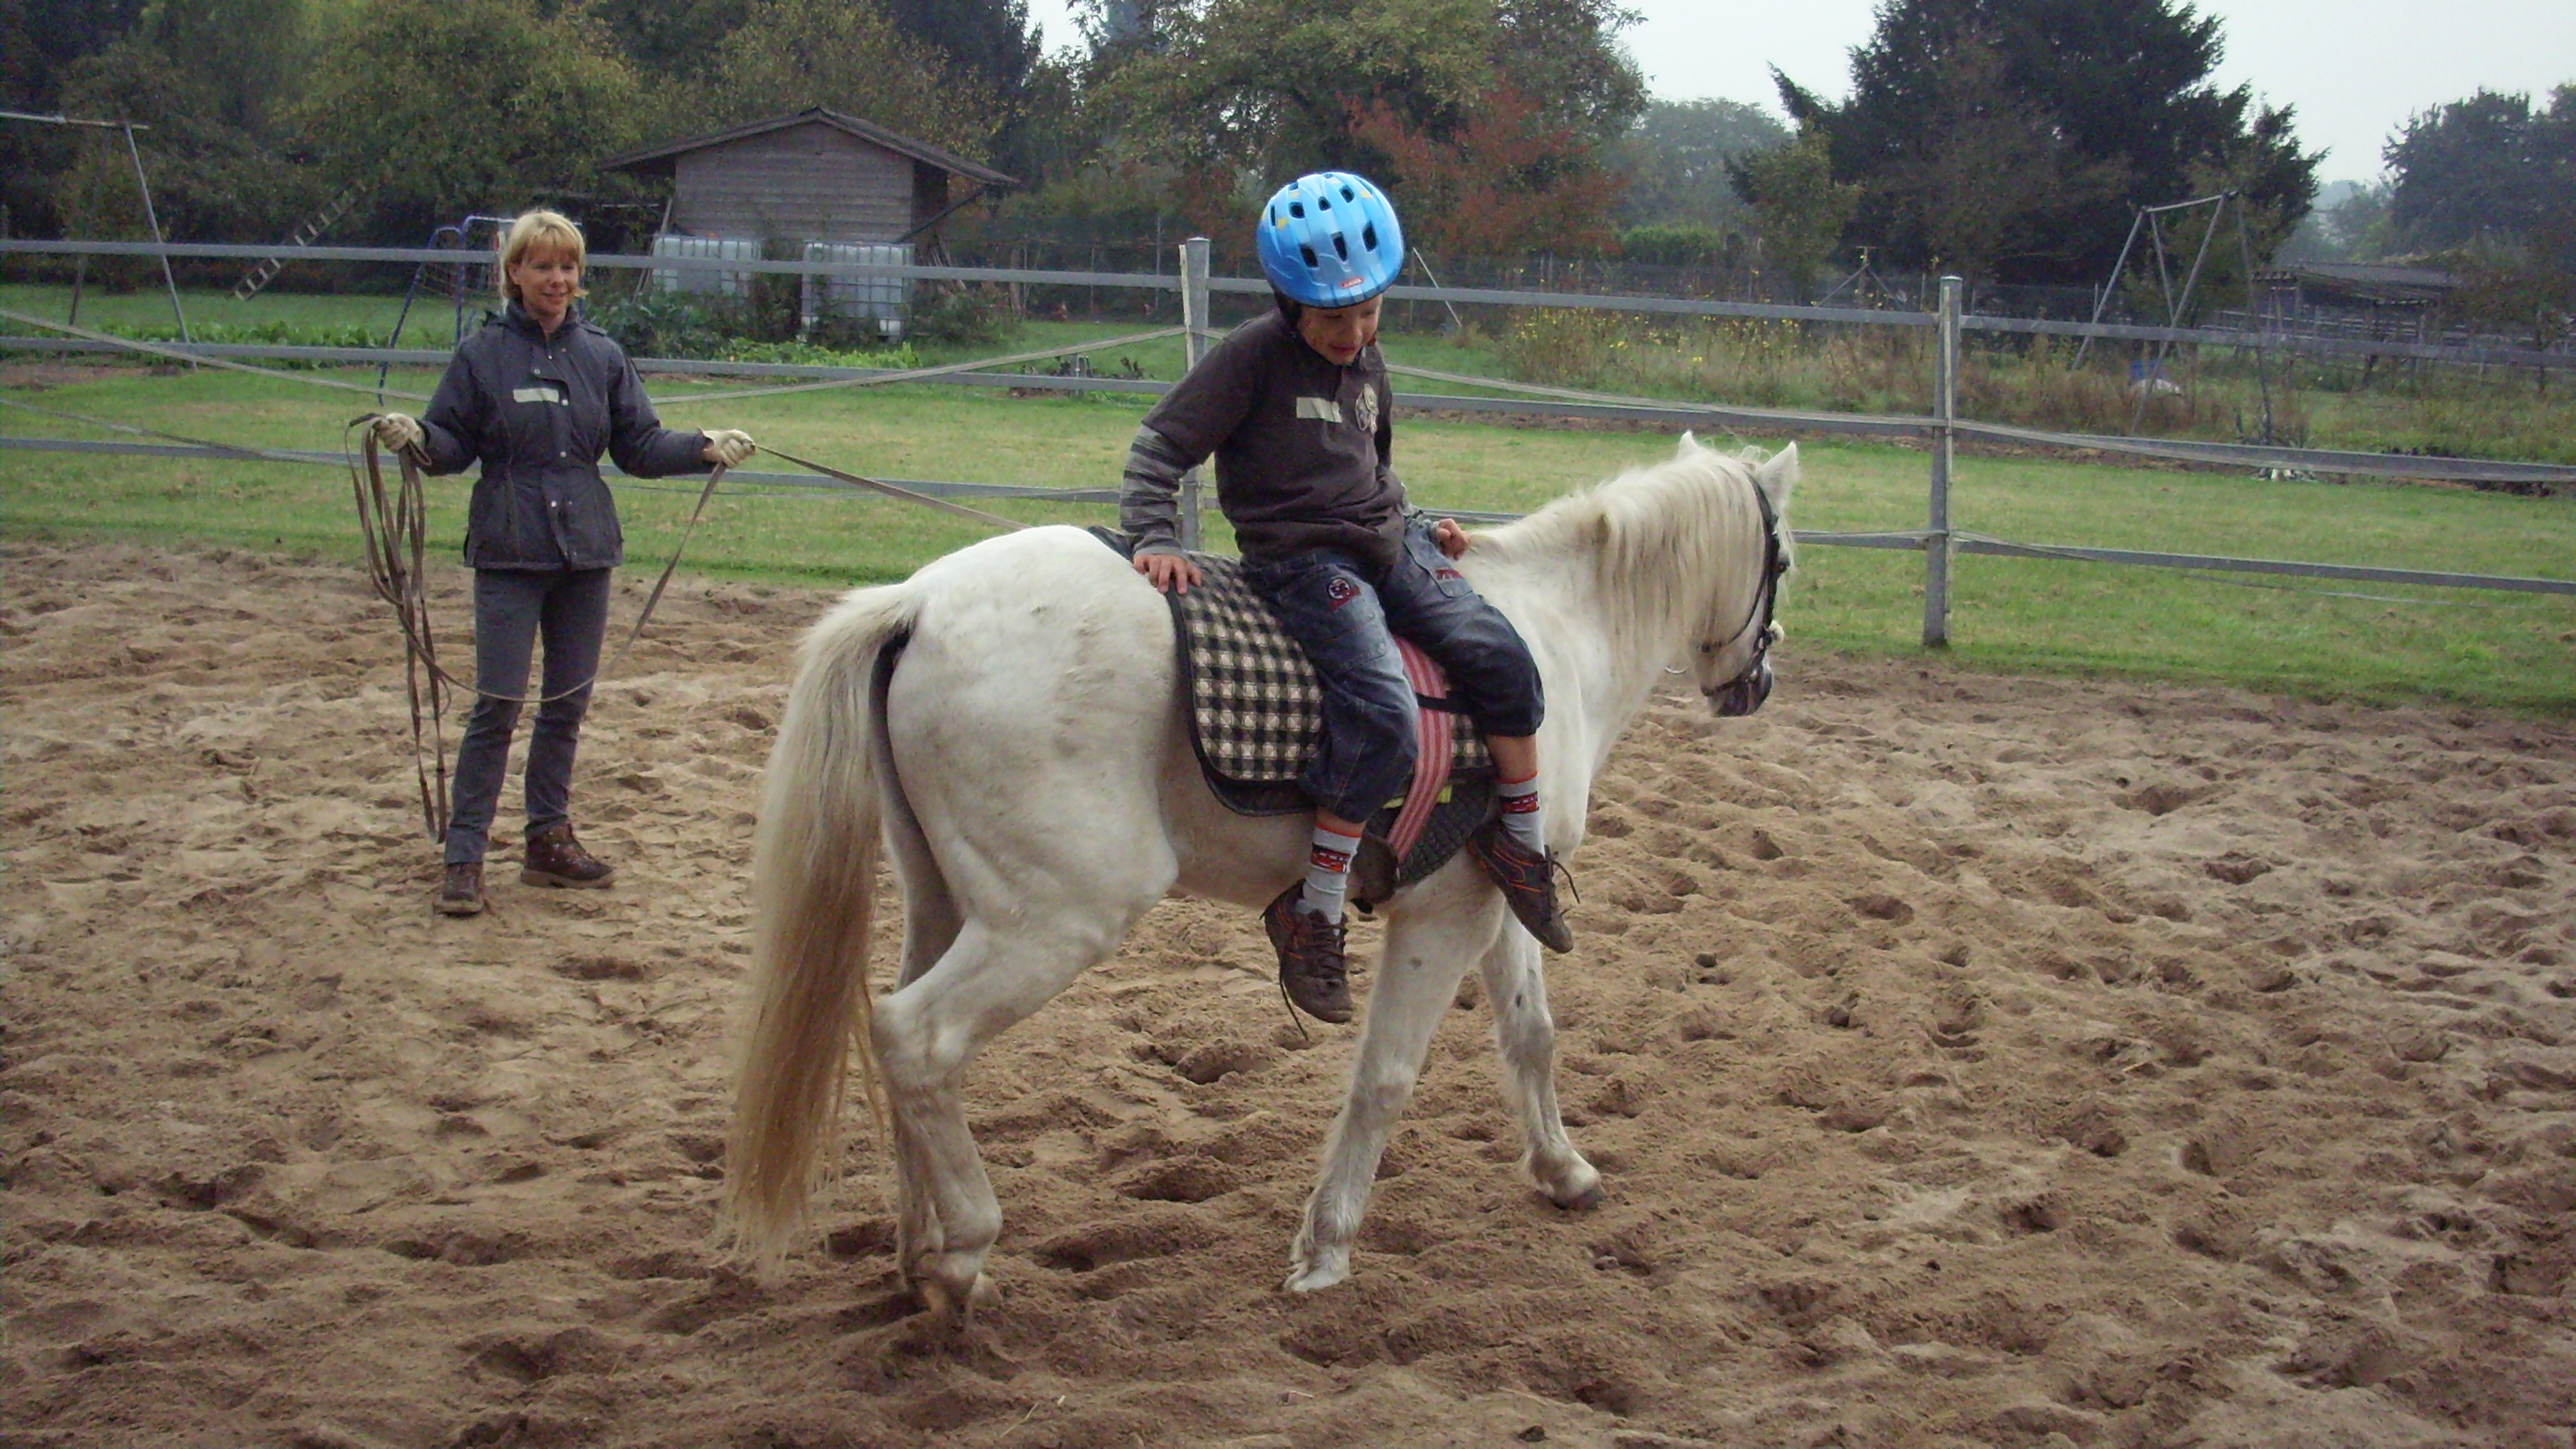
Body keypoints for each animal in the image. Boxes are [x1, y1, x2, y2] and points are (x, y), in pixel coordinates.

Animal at [721, 428, 1793, 1309]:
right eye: (1781, 558)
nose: (1757, 682)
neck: (1552, 637)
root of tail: (918, 604)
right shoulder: (1442, 918)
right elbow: (1385, 1077)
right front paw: (1325, 1249)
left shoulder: (1497, 896)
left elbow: (1533, 1036)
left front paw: (1565, 1172)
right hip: (1057, 919)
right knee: (917, 1038)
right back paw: (965, 1255)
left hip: (947, 903)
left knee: (893, 1036)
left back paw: (918, 1250)